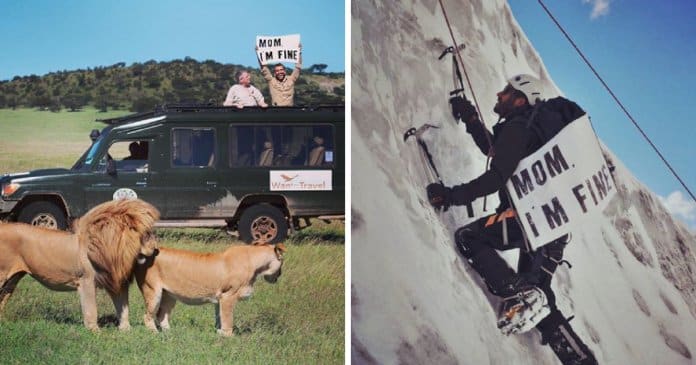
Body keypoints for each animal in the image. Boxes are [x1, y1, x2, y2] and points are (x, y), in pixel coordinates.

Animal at [0, 198, 159, 332]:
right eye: (147, 234)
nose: (156, 249)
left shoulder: (115, 280)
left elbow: (123, 308)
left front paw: (126, 330)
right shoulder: (86, 281)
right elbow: (91, 309)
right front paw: (95, 331)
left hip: (13, 279)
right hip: (3, 275)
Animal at [136, 242, 286, 336]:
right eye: (282, 262)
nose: (280, 275)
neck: (256, 265)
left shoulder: (220, 298)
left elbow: (220, 317)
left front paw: (218, 332)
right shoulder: (228, 296)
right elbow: (228, 318)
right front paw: (228, 336)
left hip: (169, 295)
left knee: (162, 315)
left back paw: (170, 333)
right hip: (152, 291)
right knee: (147, 316)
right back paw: (155, 334)